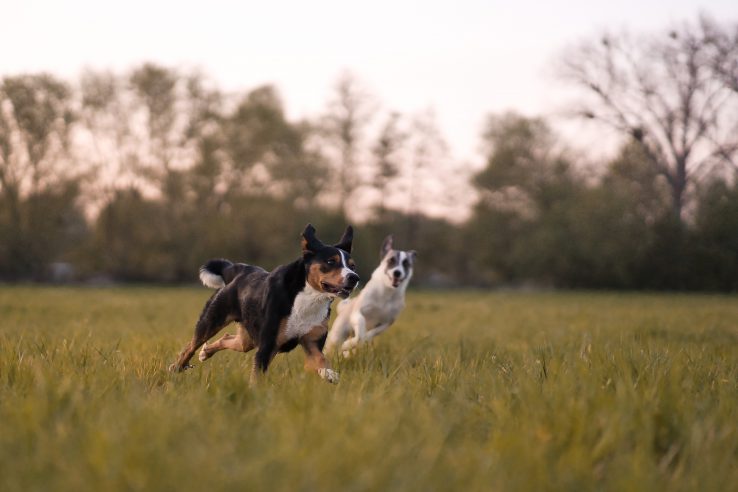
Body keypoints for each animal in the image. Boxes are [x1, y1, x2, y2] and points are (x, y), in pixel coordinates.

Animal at [170, 224, 360, 384]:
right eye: (330, 261)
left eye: (352, 266)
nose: (354, 278)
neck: (309, 299)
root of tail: (237, 270)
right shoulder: (268, 344)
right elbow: (257, 377)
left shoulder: (311, 342)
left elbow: (321, 359)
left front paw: (329, 374)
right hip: (211, 321)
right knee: (191, 346)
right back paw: (177, 367)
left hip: (248, 339)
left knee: (228, 339)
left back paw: (205, 352)